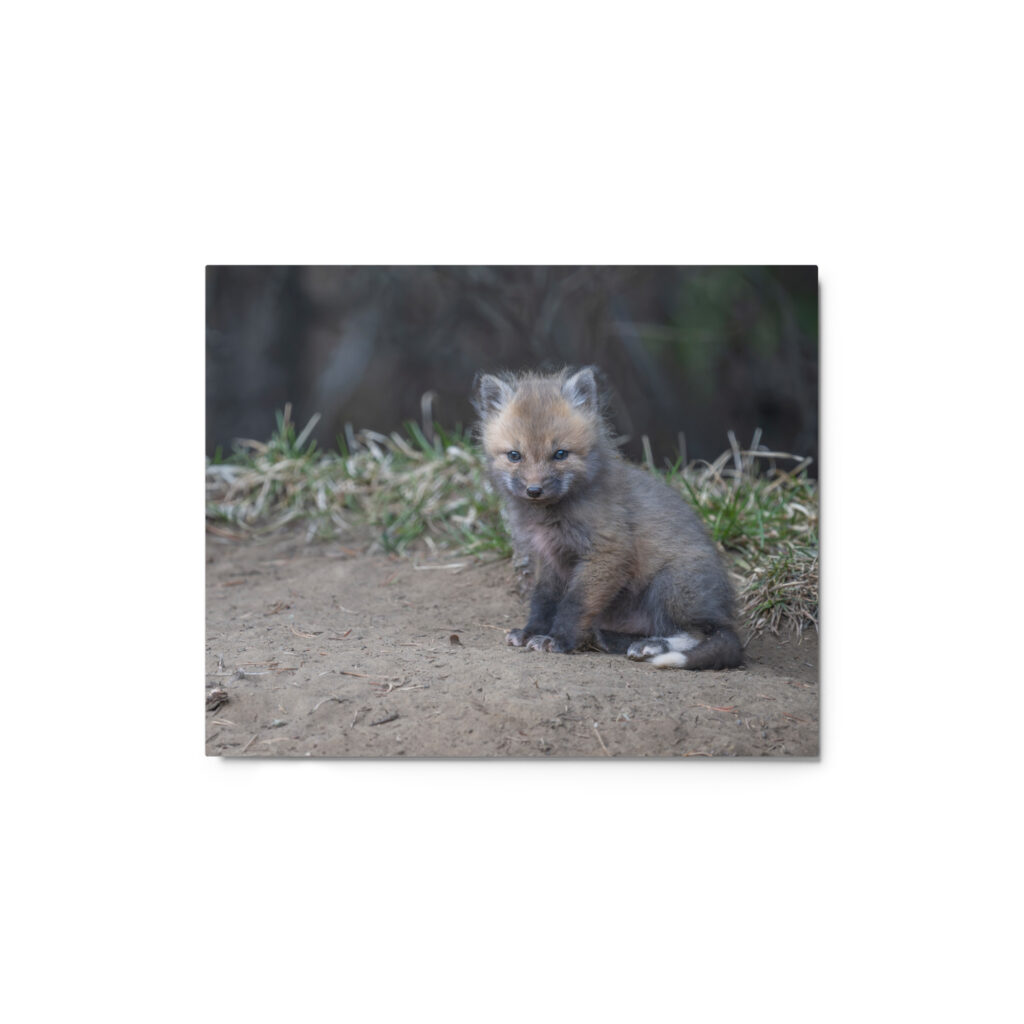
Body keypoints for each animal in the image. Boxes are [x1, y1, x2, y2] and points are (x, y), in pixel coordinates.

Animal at [472, 366, 743, 670]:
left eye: (560, 454)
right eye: (515, 455)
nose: (534, 490)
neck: (551, 517)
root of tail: (724, 611)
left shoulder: (607, 551)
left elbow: (575, 604)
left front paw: (558, 640)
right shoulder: (549, 558)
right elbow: (543, 600)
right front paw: (532, 631)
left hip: (670, 585)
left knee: (698, 633)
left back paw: (651, 646)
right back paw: (613, 639)